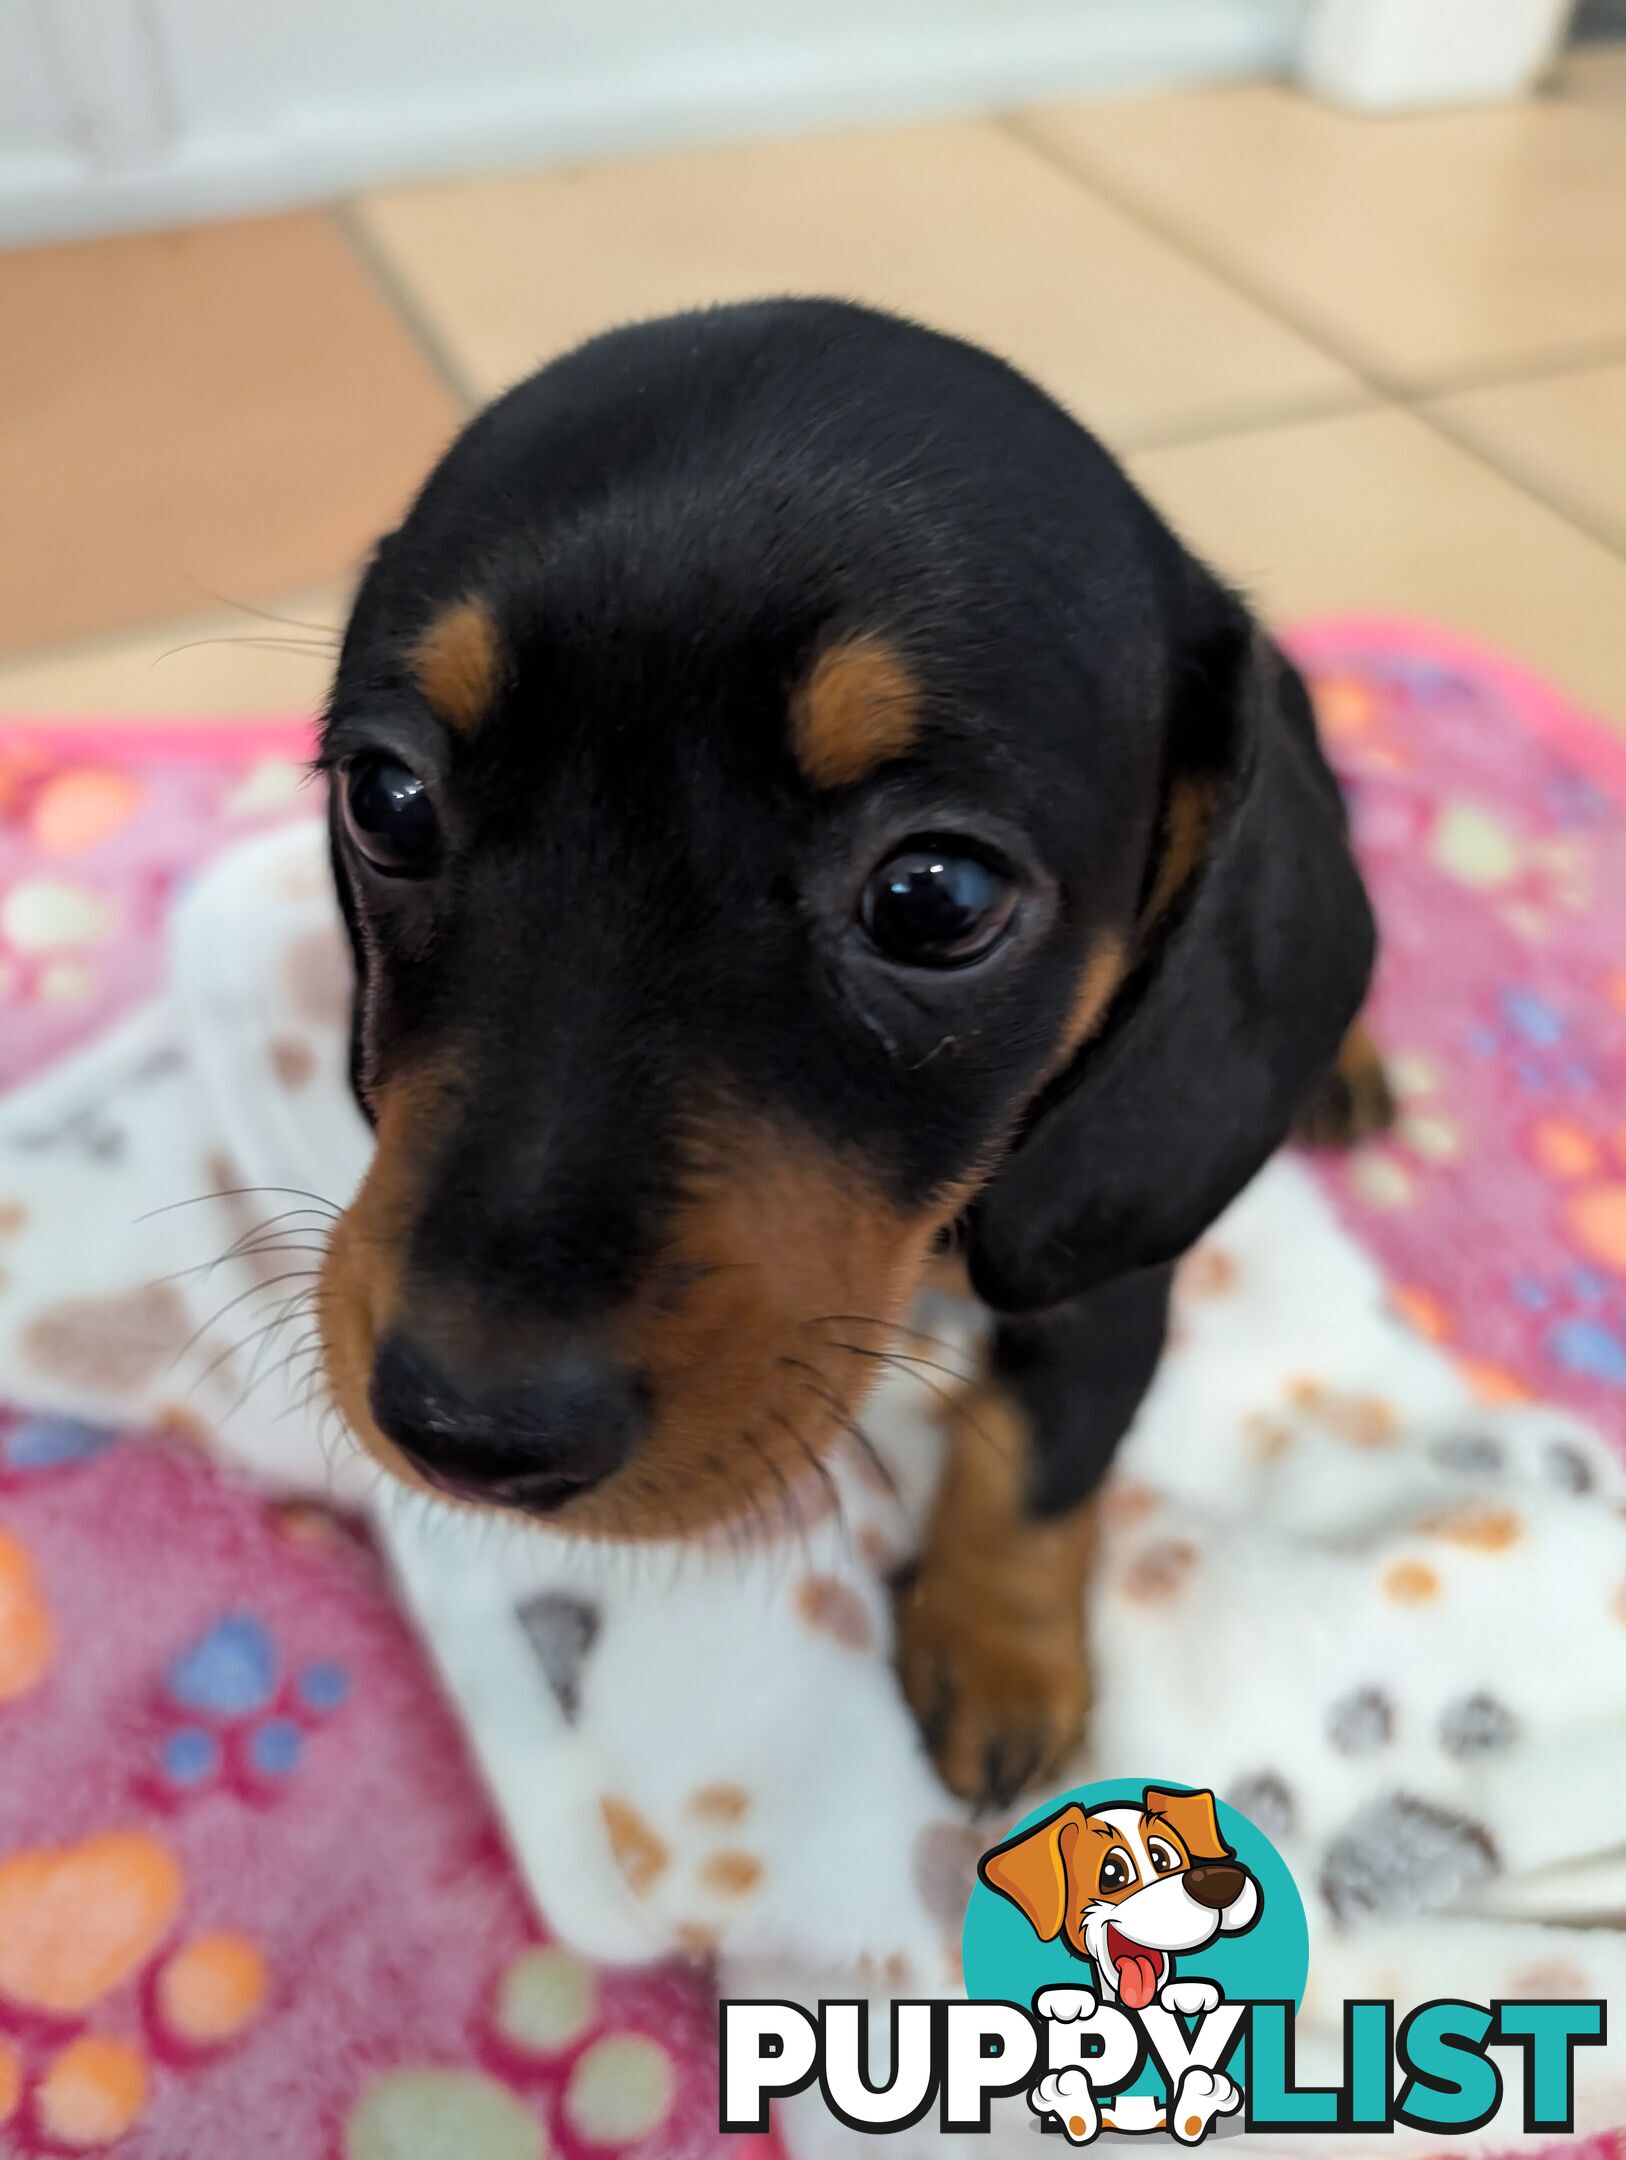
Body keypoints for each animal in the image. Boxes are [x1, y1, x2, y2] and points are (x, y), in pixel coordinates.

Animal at [313, 300, 1381, 1805]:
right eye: (387, 799)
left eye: (937, 897)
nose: (465, 1429)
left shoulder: (1105, 1264)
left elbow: (1043, 1450)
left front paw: (998, 1654)